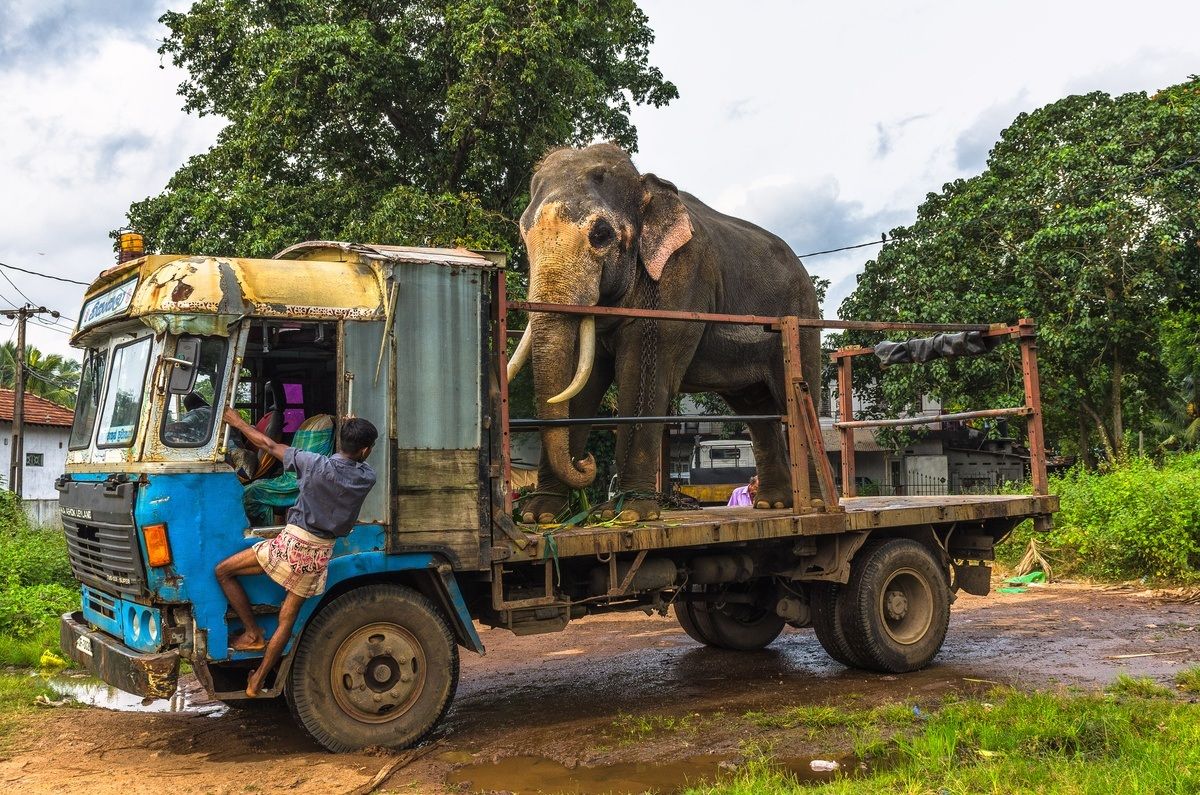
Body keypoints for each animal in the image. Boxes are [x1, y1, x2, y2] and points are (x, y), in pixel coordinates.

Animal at [508, 143, 821, 523]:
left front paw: (630, 514)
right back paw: (771, 505)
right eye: (524, 236)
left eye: (601, 234)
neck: (645, 184)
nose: (585, 463)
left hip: (803, 319)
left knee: (800, 395)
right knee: (756, 410)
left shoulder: (682, 277)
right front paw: (538, 517)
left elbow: (644, 376)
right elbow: (581, 381)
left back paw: (813, 504)